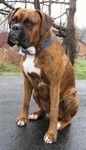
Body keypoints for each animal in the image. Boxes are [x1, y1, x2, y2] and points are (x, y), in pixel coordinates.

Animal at [7, 7, 78, 144]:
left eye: (29, 22)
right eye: (13, 20)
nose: (15, 28)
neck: (34, 51)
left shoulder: (54, 85)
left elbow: (54, 112)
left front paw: (51, 134)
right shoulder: (27, 81)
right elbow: (25, 102)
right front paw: (22, 118)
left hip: (71, 98)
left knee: (67, 118)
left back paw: (61, 124)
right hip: (36, 92)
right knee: (45, 111)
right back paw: (36, 114)